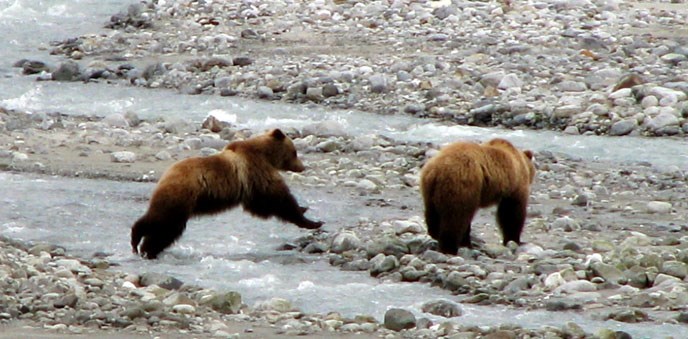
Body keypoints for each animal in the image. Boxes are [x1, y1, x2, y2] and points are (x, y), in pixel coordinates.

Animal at [130, 129, 324, 258]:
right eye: (295, 152)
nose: (302, 167)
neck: (266, 156)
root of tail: (165, 174)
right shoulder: (256, 172)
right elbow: (277, 199)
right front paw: (312, 220)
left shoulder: (251, 185)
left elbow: (260, 206)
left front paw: (307, 211)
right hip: (181, 196)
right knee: (165, 224)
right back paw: (142, 244)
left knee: (162, 225)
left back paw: (143, 247)